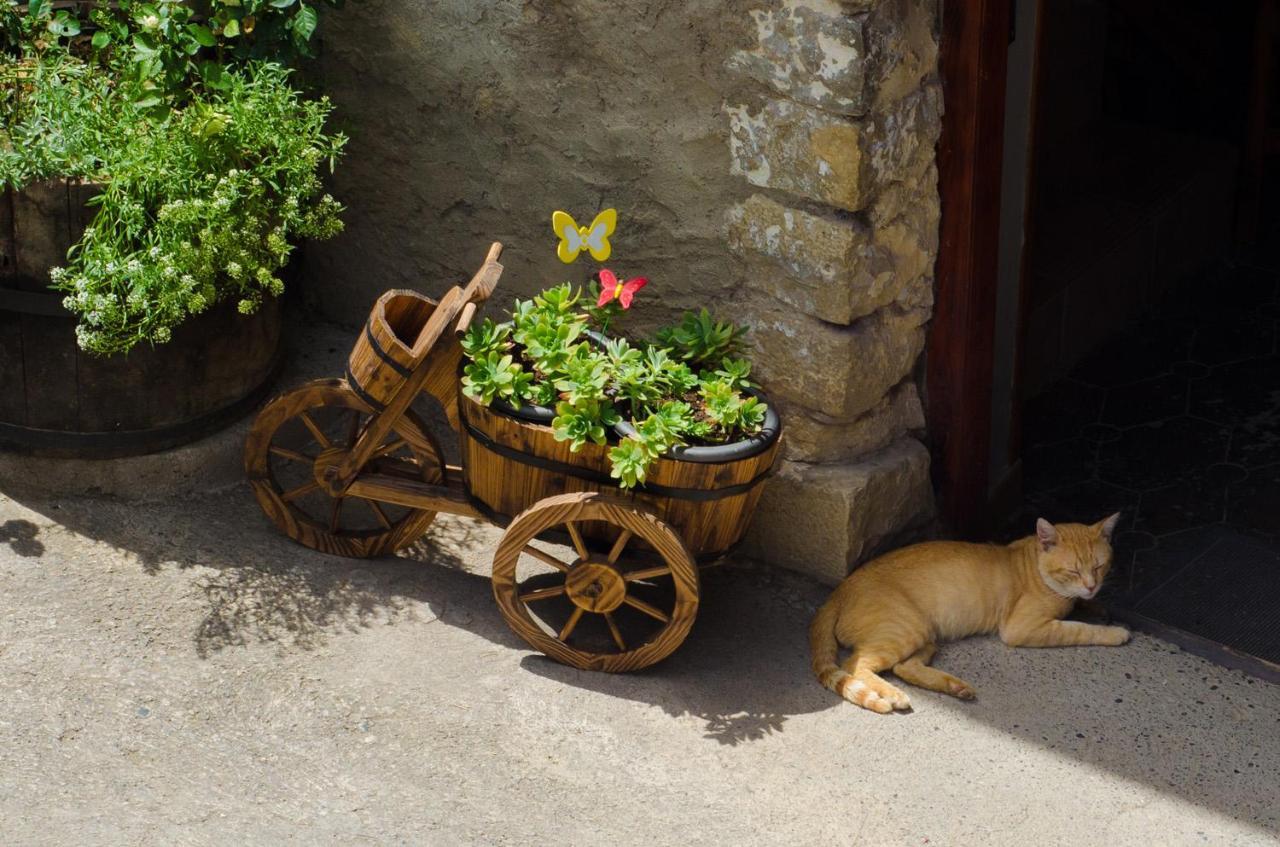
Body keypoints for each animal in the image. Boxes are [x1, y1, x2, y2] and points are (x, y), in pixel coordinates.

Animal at [814, 514, 1126, 711]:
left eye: (1099, 566)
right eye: (1072, 570)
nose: (1091, 585)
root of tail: (839, 589)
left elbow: (1082, 608)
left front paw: (1097, 606)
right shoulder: (1022, 628)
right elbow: (1078, 628)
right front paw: (1115, 632)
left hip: (925, 635)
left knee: (904, 667)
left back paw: (955, 687)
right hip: (905, 630)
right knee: (856, 664)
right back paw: (894, 695)